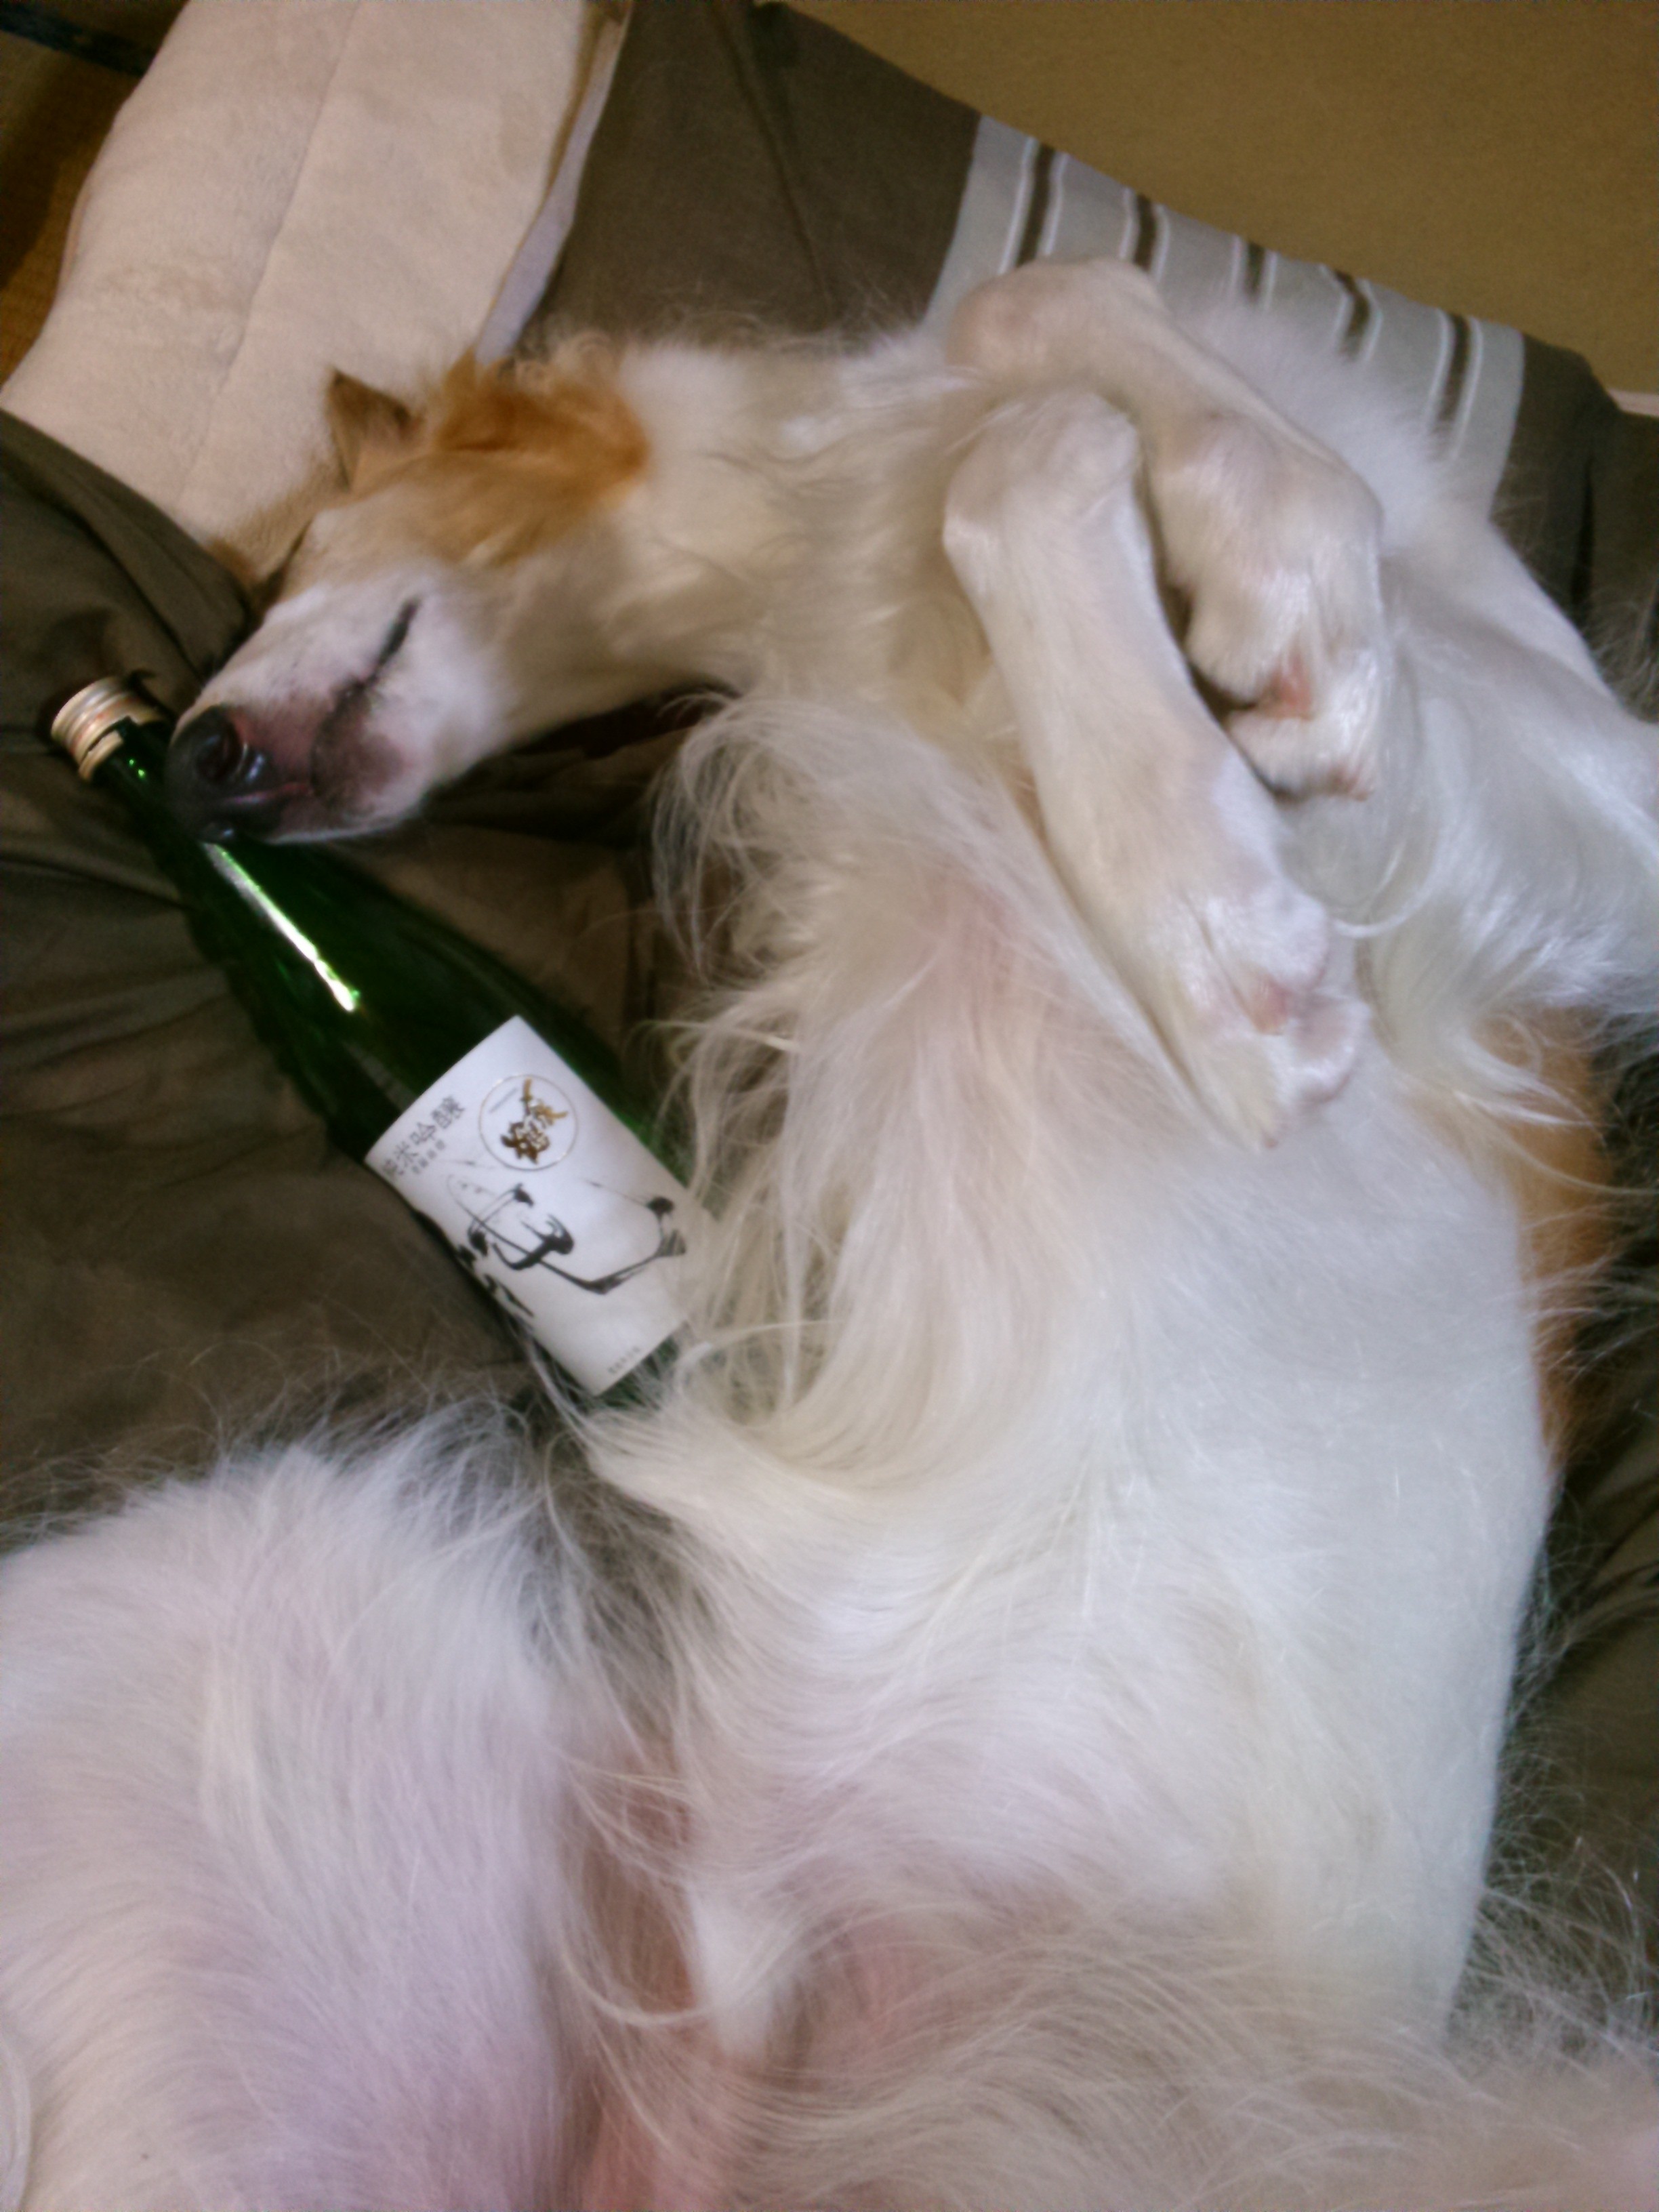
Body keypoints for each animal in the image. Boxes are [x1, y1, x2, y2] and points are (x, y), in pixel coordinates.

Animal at [2, 258, 1656, 2208]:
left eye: (306, 551)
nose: (191, 773)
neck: (823, 534)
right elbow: (1038, 398)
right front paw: (1219, 910)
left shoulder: (1596, 791)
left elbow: (1055, 335)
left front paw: (1267, 627)